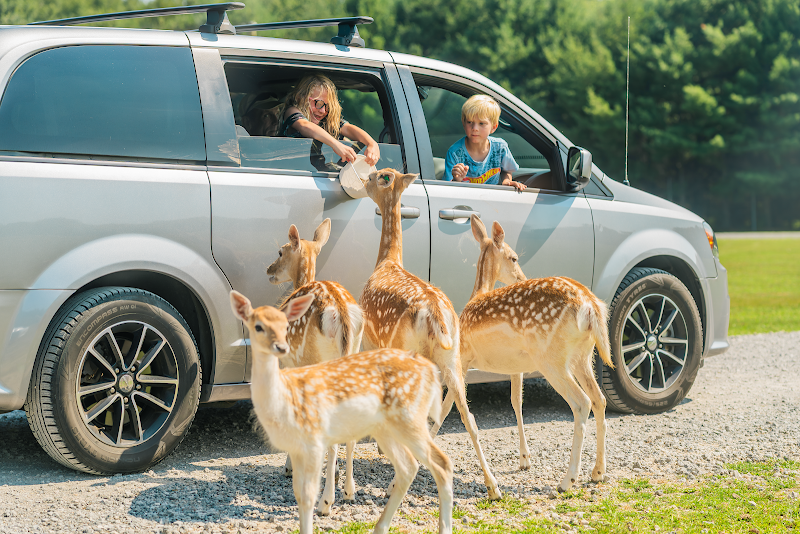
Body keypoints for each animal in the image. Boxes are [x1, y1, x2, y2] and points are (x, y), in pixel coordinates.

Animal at [230, 290, 454, 534]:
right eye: (258, 326)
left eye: (285, 325)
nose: (281, 347)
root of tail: (430, 371)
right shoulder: (299, 447)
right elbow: (299, 494)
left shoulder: (313, 442)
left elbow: (308, 495)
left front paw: (324, 501)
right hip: (386, 428)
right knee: (409, 466)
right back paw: (375, 521)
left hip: (409, 419)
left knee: (442, 463)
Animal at [265, 218, 363, 514]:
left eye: (280, 251)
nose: (269, 270)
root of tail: (340, 312)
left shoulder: (289, 365)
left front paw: (288, 466)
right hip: (354, 352)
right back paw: (349, 490)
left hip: (316, 361)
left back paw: (325, 501)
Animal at [359, 168, 502, 500]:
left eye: (379, 176)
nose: (363, 179)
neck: (387, 261)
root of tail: (436, 315)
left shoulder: (372, 338)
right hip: (452, 360)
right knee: (467, 417)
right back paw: (493, 487)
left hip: (410, 354)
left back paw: (393, 482)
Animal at [431, 214, 614, 492]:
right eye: (514, 258)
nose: (521, 276)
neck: (477, 294)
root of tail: (591, 305)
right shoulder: (510, 366)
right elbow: (516, 401)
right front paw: (525, 459)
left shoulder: (462, 358)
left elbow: (446, 406)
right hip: (582, 356)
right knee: (598, 399)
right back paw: (598, 472)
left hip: (551, 358)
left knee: (581, 402)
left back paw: (567, 481)